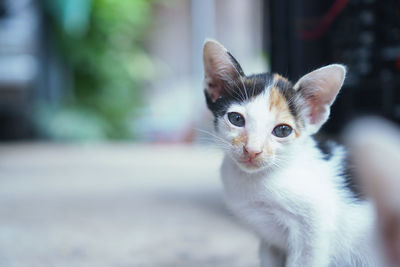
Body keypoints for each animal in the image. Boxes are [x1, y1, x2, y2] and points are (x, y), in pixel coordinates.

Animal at [203, 40, 384, 267]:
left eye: (282, 130)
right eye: (236, 119)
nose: (252, 150)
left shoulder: (315, 225)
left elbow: (305, 258)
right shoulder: (269, 240)